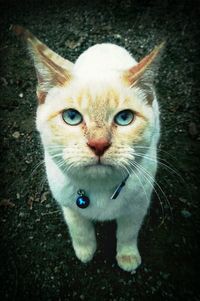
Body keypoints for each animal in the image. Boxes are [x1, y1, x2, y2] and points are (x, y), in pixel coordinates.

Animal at [12, 25, 163, 272]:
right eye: (71, 117)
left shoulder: (138, 207)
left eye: (124, 118)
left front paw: (127, 257)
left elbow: (128, 234)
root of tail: (105, 44)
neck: (99, 190)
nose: (99, 144)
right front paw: (85, 252)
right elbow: (80, 229)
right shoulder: (69, 206)